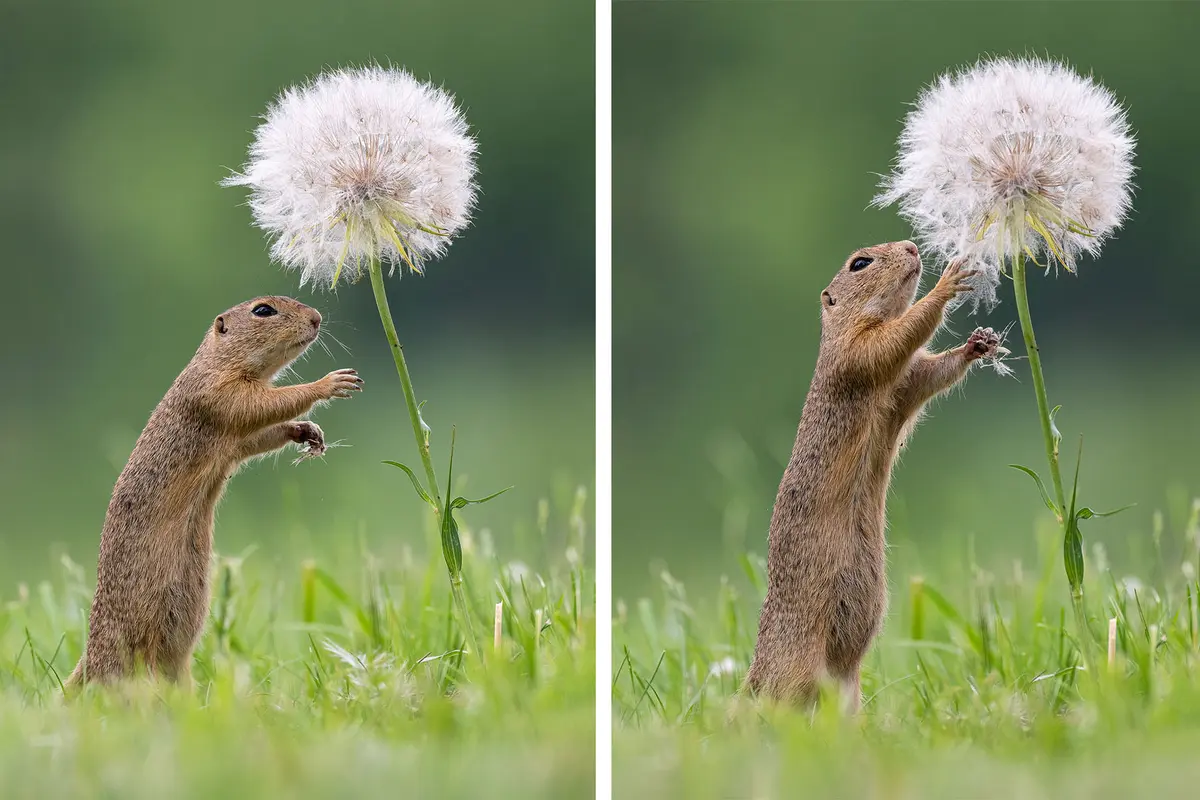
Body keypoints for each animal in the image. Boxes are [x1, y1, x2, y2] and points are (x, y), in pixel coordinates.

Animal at [65, 296, 363, 688]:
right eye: (263, 310)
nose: (317, 318)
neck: (217, 360)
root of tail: (93, 656)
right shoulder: (219, 392)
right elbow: (264, 404)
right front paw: (332, 382)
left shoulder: (234, 439)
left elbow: (257, 435)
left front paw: (306, 431)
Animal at [743, 240, 1000, 711]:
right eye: (859, 263)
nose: (913, 246)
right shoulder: (856, 351)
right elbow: (894, 338)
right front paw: (948, 283)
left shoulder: (906, 383)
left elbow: (930, 373)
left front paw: (978, 344)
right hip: (795, 670)